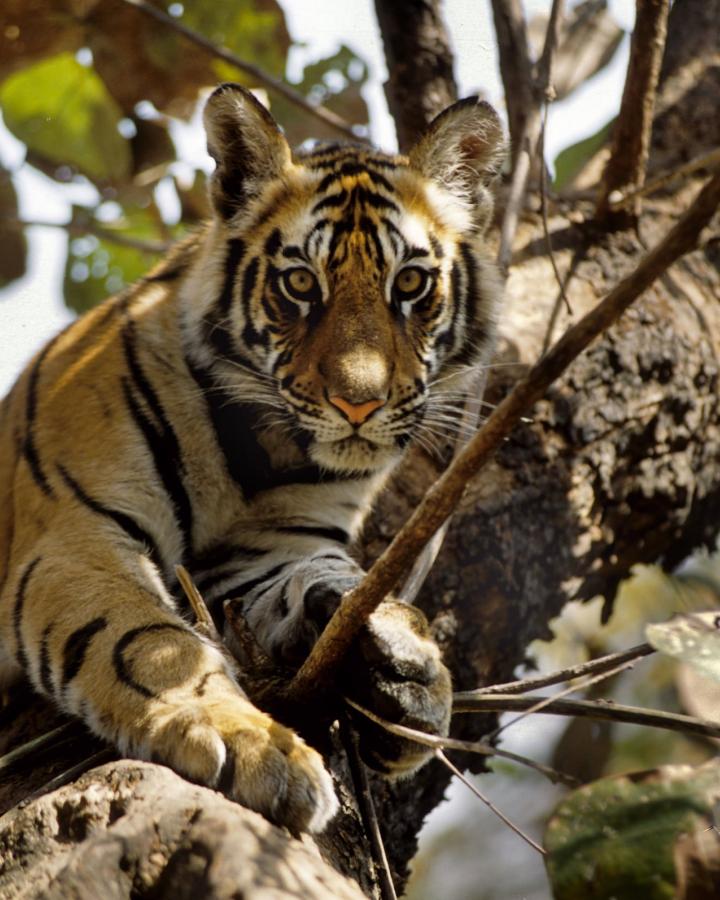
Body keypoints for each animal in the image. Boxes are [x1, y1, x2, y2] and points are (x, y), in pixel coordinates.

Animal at [0, 81, 506, 832]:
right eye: (300, 284)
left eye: (411, 284)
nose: (359, 404)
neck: (260, 452)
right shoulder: (74, 536)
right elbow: (147, 640)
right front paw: (247, 741)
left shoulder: (267, 551)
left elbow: (324, 577)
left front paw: (407, 669)